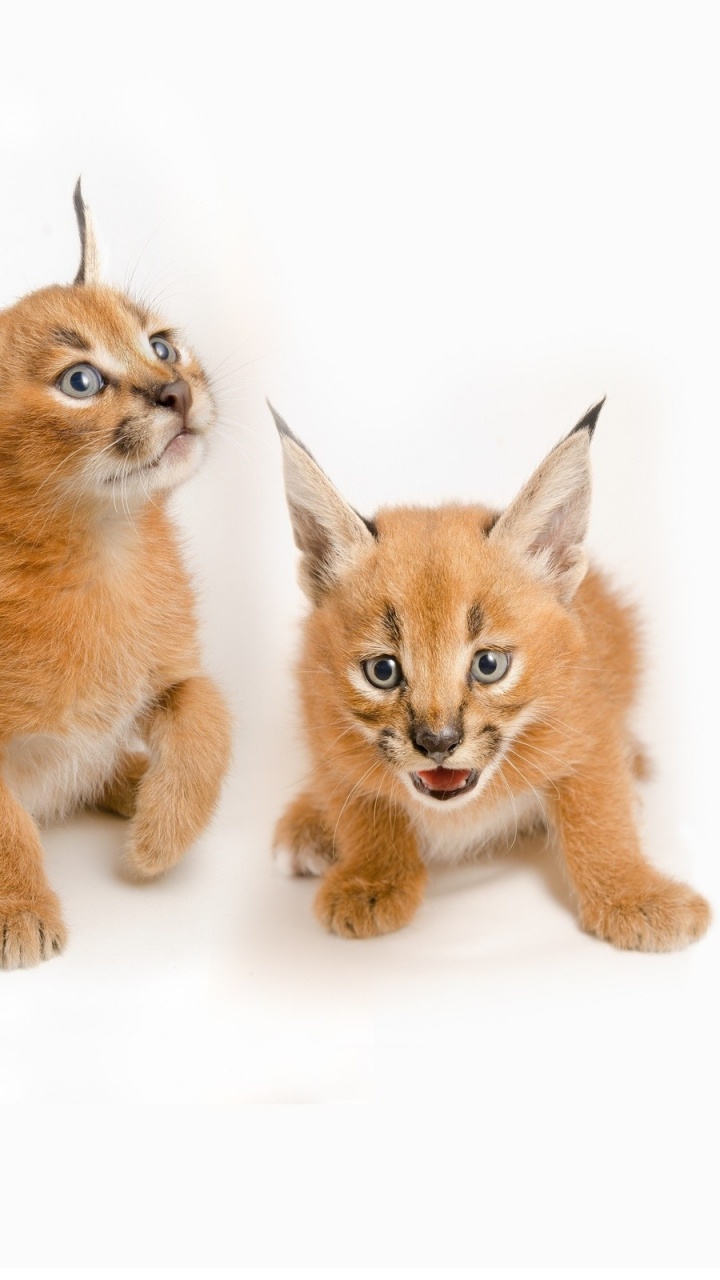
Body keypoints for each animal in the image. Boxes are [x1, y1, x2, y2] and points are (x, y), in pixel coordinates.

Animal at [0, 185, 229, 962]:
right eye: (81, 382)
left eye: (160, 345)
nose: (176, 390)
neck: (105, 549)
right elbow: (5, 825)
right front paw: (21, 912)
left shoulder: (171, 669)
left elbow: (208, 714)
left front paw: (162, 836)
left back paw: (131, 781)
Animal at [269, 399, 707, 952]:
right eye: (382, 671)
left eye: (489, 665)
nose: (437, 742)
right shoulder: (321, 714)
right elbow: (361, 801)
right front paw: (373, 879)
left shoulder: (587, 721)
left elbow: (597, 810)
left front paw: (633, 896)